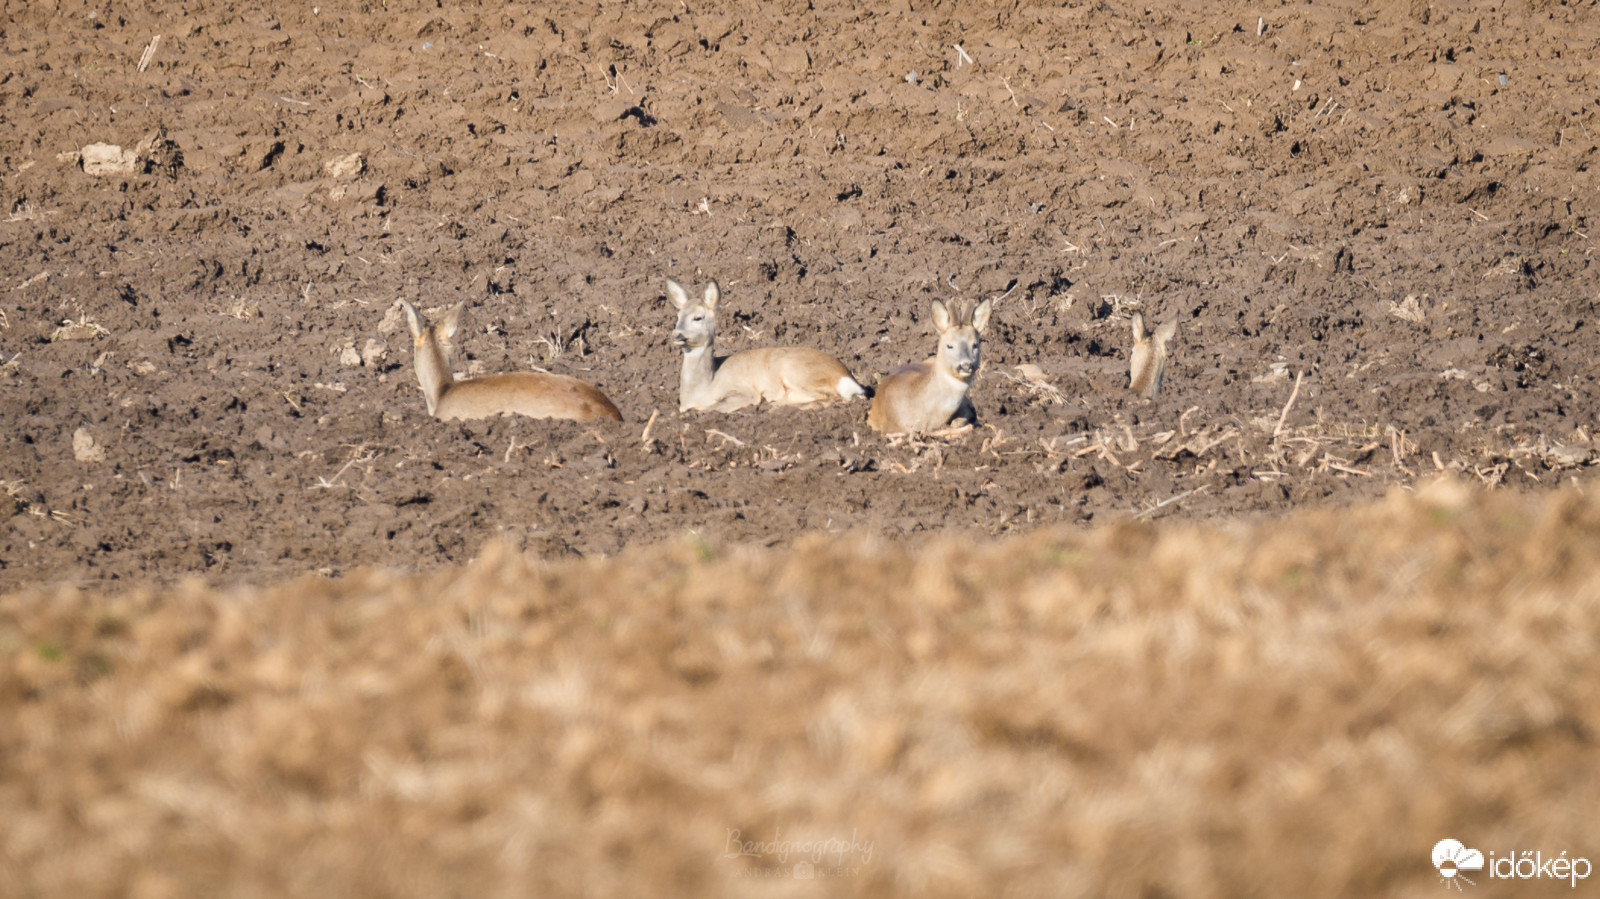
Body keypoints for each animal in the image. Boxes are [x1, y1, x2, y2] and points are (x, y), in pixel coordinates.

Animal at [662, 278, 864, 412]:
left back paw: (775, 405)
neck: (703, 388)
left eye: (698, 317)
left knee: (834, 398)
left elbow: (713, 408)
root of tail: (847, 377)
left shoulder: (744, 390)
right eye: (678, 317)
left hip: (795, 371)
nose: (676, 334)